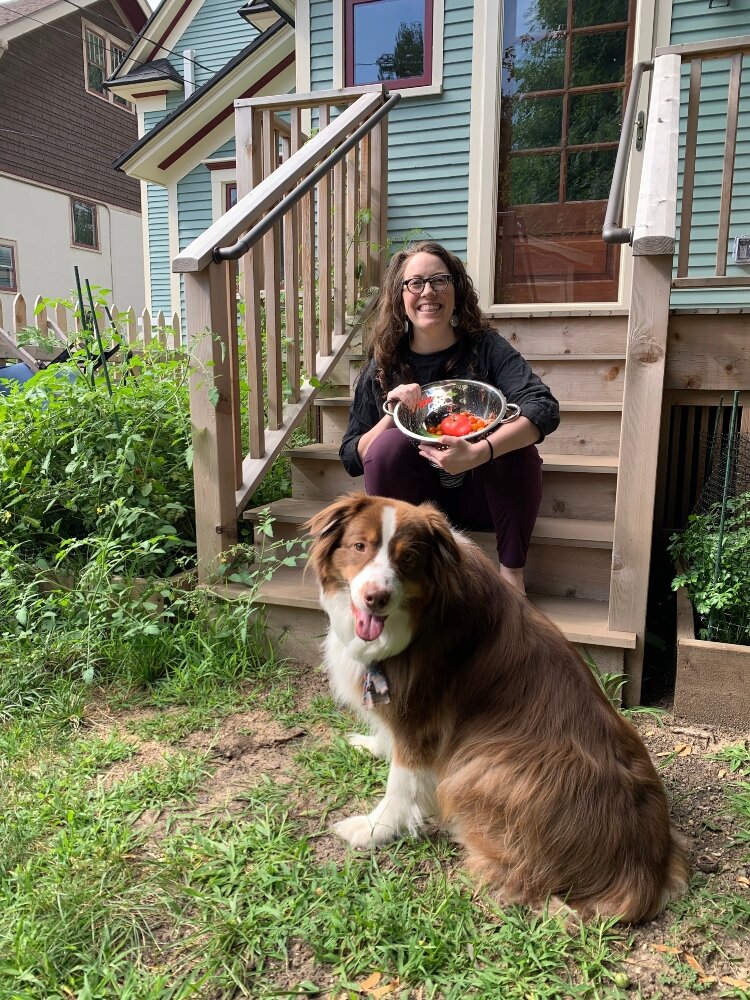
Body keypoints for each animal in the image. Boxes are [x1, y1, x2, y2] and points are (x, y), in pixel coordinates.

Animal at [306, 492, 692, 920]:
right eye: (360, 546)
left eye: (407, 558)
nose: (376, 598)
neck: (423, 615)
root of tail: (644, 871)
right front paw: (372, 745)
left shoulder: (421, 717)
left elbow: (401, 783)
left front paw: (374, 829)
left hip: (490, 765)